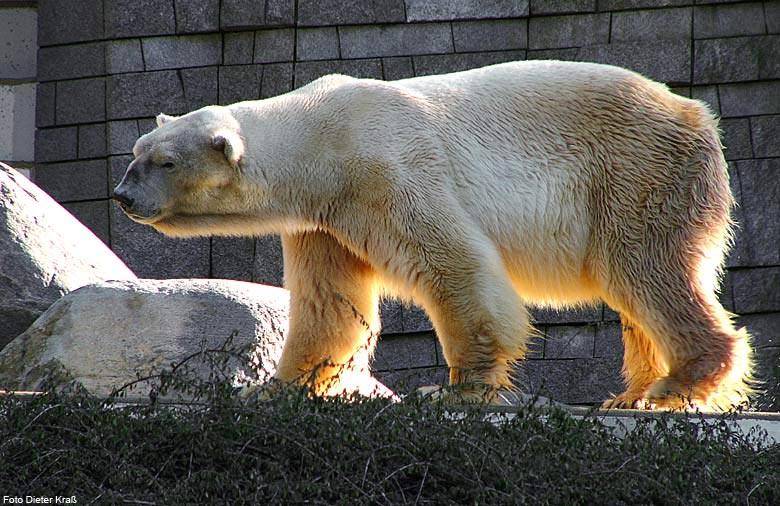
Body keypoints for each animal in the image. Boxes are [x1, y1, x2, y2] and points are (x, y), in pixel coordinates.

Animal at [112, 60, 752, 412]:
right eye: (137, 152)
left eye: (164, 161)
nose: (121, 196)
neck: (321, 138)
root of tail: (698, 114)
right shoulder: (326, 218)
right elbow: (329, 306)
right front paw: (273, 389)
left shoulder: (387, 169)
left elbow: (454, 264)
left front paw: (453, 390)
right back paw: (631, 391)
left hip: (637, 172)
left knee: (645, 270)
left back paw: (674, 386)